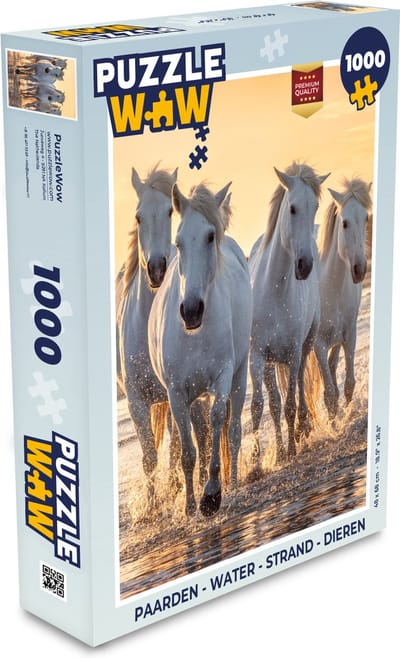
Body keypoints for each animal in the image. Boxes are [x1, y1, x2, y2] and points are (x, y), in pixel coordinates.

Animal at [148, 182, 252, 517]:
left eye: (209, 236)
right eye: (178, 242)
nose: (191, 311)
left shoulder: (222, 376)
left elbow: (219, 421)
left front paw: (212, 495)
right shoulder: (177, 393)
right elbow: (188, 451)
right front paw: (191, 505)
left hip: (240, 375)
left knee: (233, 432)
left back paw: (234, 483)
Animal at [249, 162, 330, 464]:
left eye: (315, 206)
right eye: (293, 208)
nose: (304, 265)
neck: (275, 289)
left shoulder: (293, 353)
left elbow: (291, 403)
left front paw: (293, 447)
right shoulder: (257, 356)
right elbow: (261, 405)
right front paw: (256, 462)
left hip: (304, 346)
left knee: (298, 390)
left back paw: (302, 429)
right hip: (270, 362)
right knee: (273, 401)